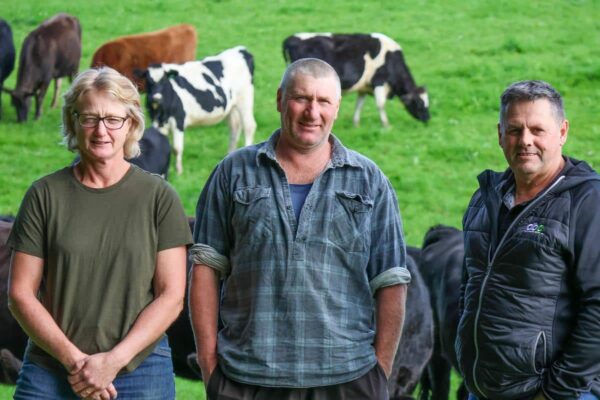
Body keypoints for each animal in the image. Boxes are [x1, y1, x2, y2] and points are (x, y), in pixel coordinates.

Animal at [147, 46, 258, 174]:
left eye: (164, 80)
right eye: (148, 81)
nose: (156, 98)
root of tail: (240, 49)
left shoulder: (178, 121)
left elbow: (176, 148)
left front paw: (179, 171)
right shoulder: (158, 124)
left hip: (245, 100)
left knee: (249, 126)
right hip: (232, 107)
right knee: (235, 126)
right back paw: (229, 153)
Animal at [284, 33, 428, 130]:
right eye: (419, 103)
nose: (427, 119)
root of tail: (291, 38)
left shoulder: (364, 88)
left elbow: (359, 105)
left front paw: (356, 124)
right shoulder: (379, 82)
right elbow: (380, 104)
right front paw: (386, 125)